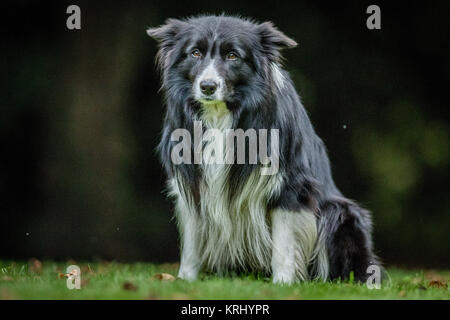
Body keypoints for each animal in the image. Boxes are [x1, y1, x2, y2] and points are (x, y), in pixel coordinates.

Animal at [147, 15, 380, 284]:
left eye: (233, 56)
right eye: (195, 53)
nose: (207, 86)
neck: (221, 115)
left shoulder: (290, 184)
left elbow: (284, 241)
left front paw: (283, 283)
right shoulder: (191, 179)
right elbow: (192, 241)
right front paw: (185, 279)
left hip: (340, 211)